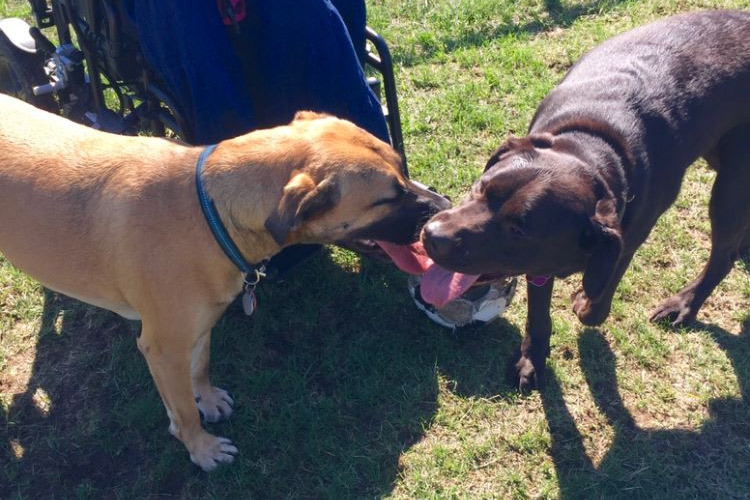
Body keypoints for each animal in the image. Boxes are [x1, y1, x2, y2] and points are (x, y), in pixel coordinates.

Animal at [0, 94, 452, 468]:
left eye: (401, 168)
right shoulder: (162, 348)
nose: (445, 206)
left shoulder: (198, 328)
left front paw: (208, 399)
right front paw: (201, 449)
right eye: (387, 198)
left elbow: (199, 368)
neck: (209, 210)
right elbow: (182, 411)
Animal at [420, 8, 750, 390]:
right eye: (480, 188)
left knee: (722, 255)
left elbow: (598, 295)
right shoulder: (539, 266)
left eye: (519, 230)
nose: (432, 235)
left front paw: (586, 302)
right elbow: (538, 313)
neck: (593, 144)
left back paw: (684, 304)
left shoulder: (626, 237)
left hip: (731, 183)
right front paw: (532, 359)